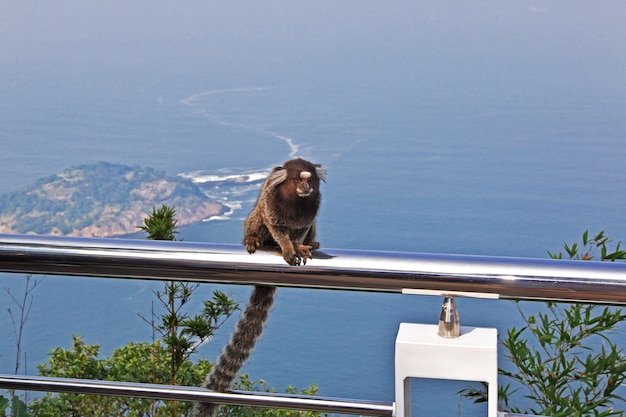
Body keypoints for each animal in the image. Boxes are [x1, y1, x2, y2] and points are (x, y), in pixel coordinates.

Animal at [193, 158, 324, 414]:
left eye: (310, 179)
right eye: (299, 179)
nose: (307, 187)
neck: (296, 201)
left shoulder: (309, 211)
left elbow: (301, 230)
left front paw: (299, 246)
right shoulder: (272, 206)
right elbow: (276, 226)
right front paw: (287, 248)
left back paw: (311, 244)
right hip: (255, 224)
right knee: (258, 220)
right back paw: (254, 240)